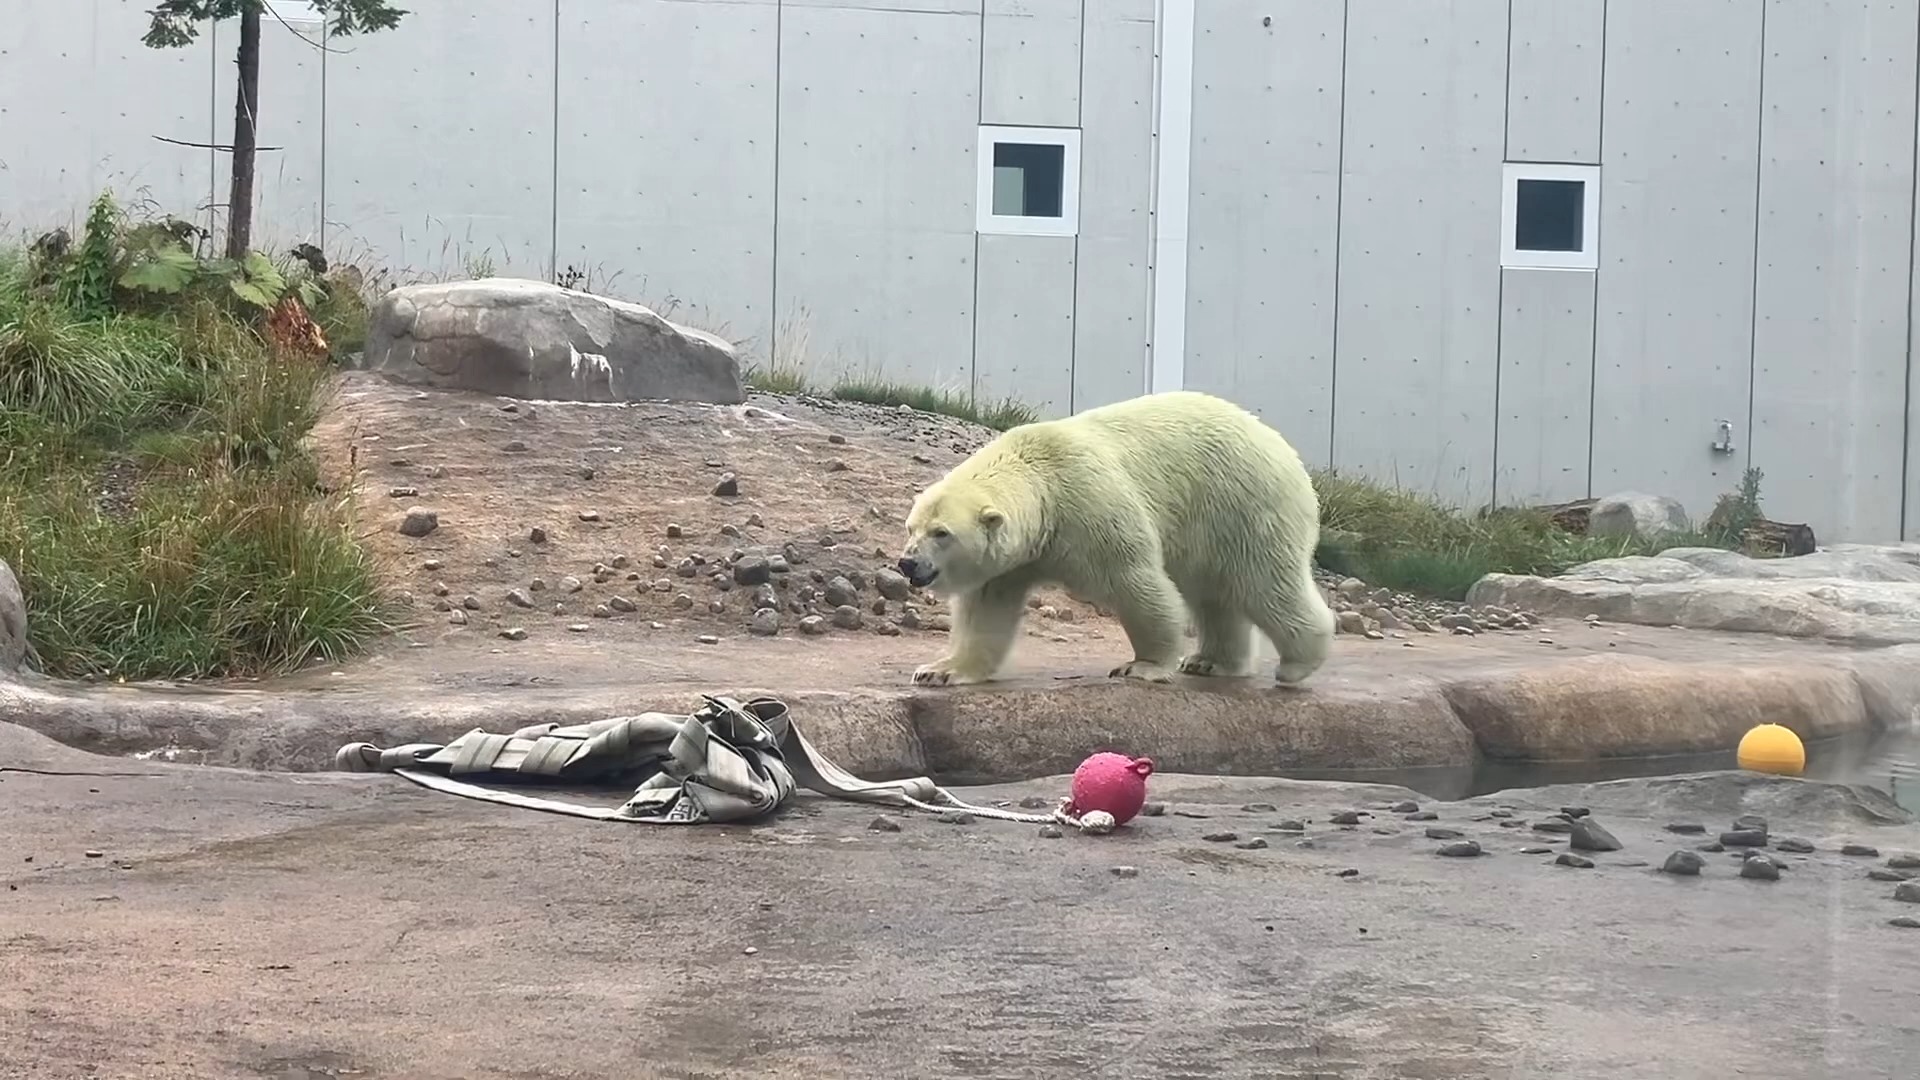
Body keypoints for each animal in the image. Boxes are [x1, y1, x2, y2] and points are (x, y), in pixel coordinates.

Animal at [898, 390, 1336, 684]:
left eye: (942, 533)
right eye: (911, 527)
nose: (908, 563)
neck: (1044, 487)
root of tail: (1282, 447)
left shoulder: (1089, 506)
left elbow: (1135, 582)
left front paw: (1141, 666)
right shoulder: (1012, 561)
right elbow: (985, 610)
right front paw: (939, 670)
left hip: (1244, 503)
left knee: (1264, 582)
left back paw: (1297, 665)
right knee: (1215, 593)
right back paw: (1210, 661)